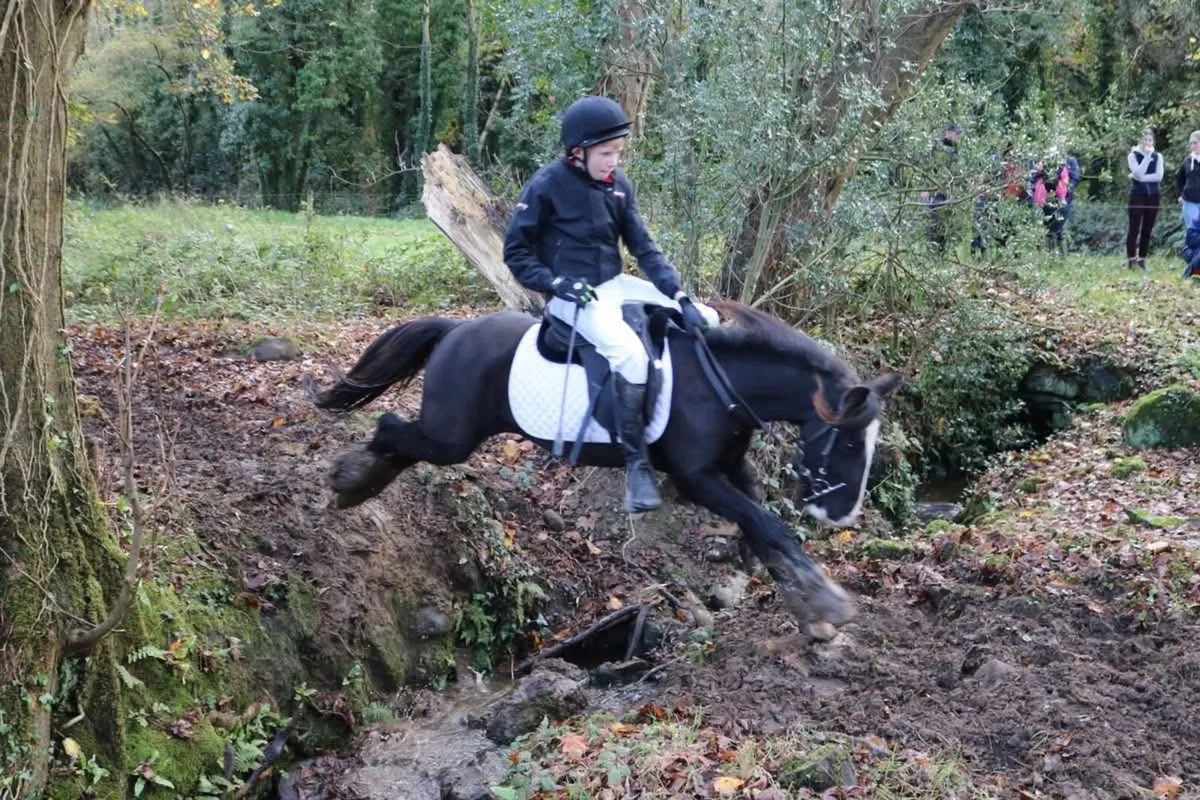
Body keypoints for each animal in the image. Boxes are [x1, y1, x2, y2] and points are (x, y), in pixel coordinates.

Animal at [306, 300, 900, 630]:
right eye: (852, 445)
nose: (843, 517)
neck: (718, 384)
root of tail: (454, 331)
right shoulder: (698, 479)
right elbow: (768, 524)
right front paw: (825, 604)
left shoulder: (730, 471)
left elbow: (761, 526)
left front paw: (805, 603)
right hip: (451, 436)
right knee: (392, 430)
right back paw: (352, 481)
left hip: (451, 435)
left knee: (399, 441)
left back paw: (356, 482)